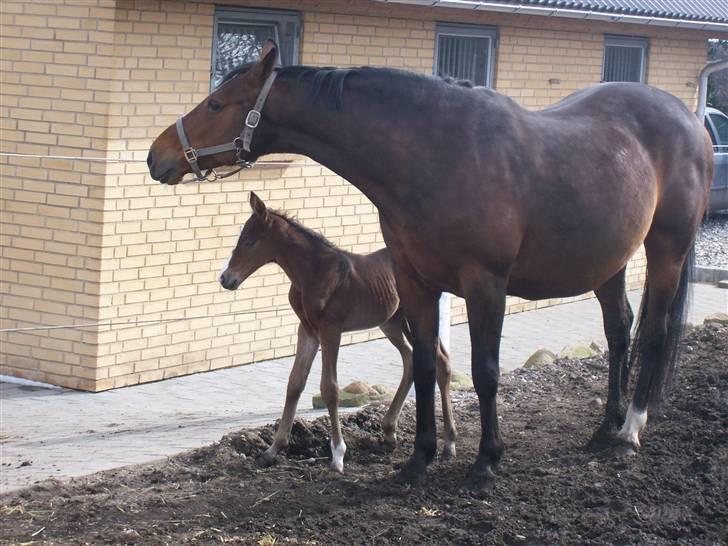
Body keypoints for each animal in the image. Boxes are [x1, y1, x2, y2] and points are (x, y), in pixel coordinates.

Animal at [218, 192, 456, 472]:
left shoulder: (331, 330)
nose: (225, 279)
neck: (314, 274)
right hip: (392, 322)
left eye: (251, 241)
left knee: (441, 362)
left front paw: (338, 454)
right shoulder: (307, 330)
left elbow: (329, 388)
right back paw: (389, 431)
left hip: (413, 318)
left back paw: (450, 444)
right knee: (410, 359)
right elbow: (294, 383)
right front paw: (272, 449)